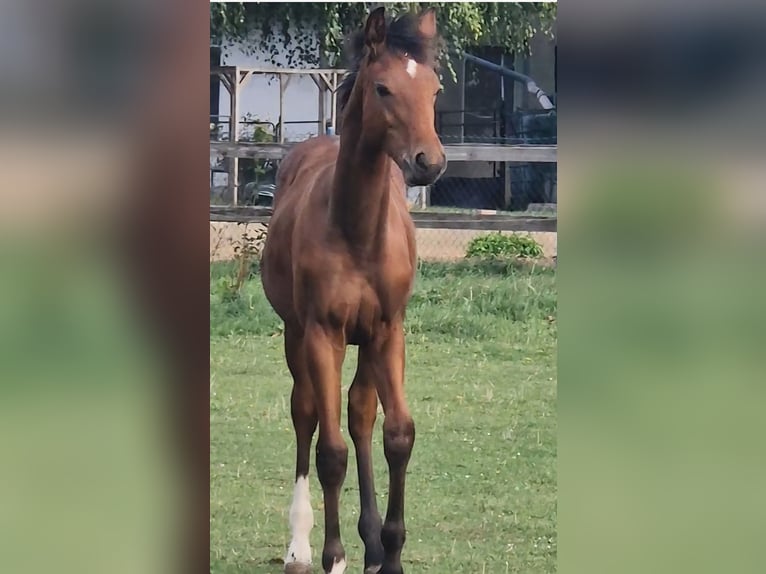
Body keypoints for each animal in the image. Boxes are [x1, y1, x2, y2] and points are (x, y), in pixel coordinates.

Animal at [261, 7, 446, 574]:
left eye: (434, 89)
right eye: (383, 88)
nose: (430, 161)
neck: (359, 231)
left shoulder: (388, 331)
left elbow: (397, 433)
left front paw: (391, 551)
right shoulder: (324, 333)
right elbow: (331, 452)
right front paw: (334, 555)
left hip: (364, 343)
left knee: (361, 414)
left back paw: (372, 546)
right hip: (297, 335)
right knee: (306, 414)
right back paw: (300, 545)